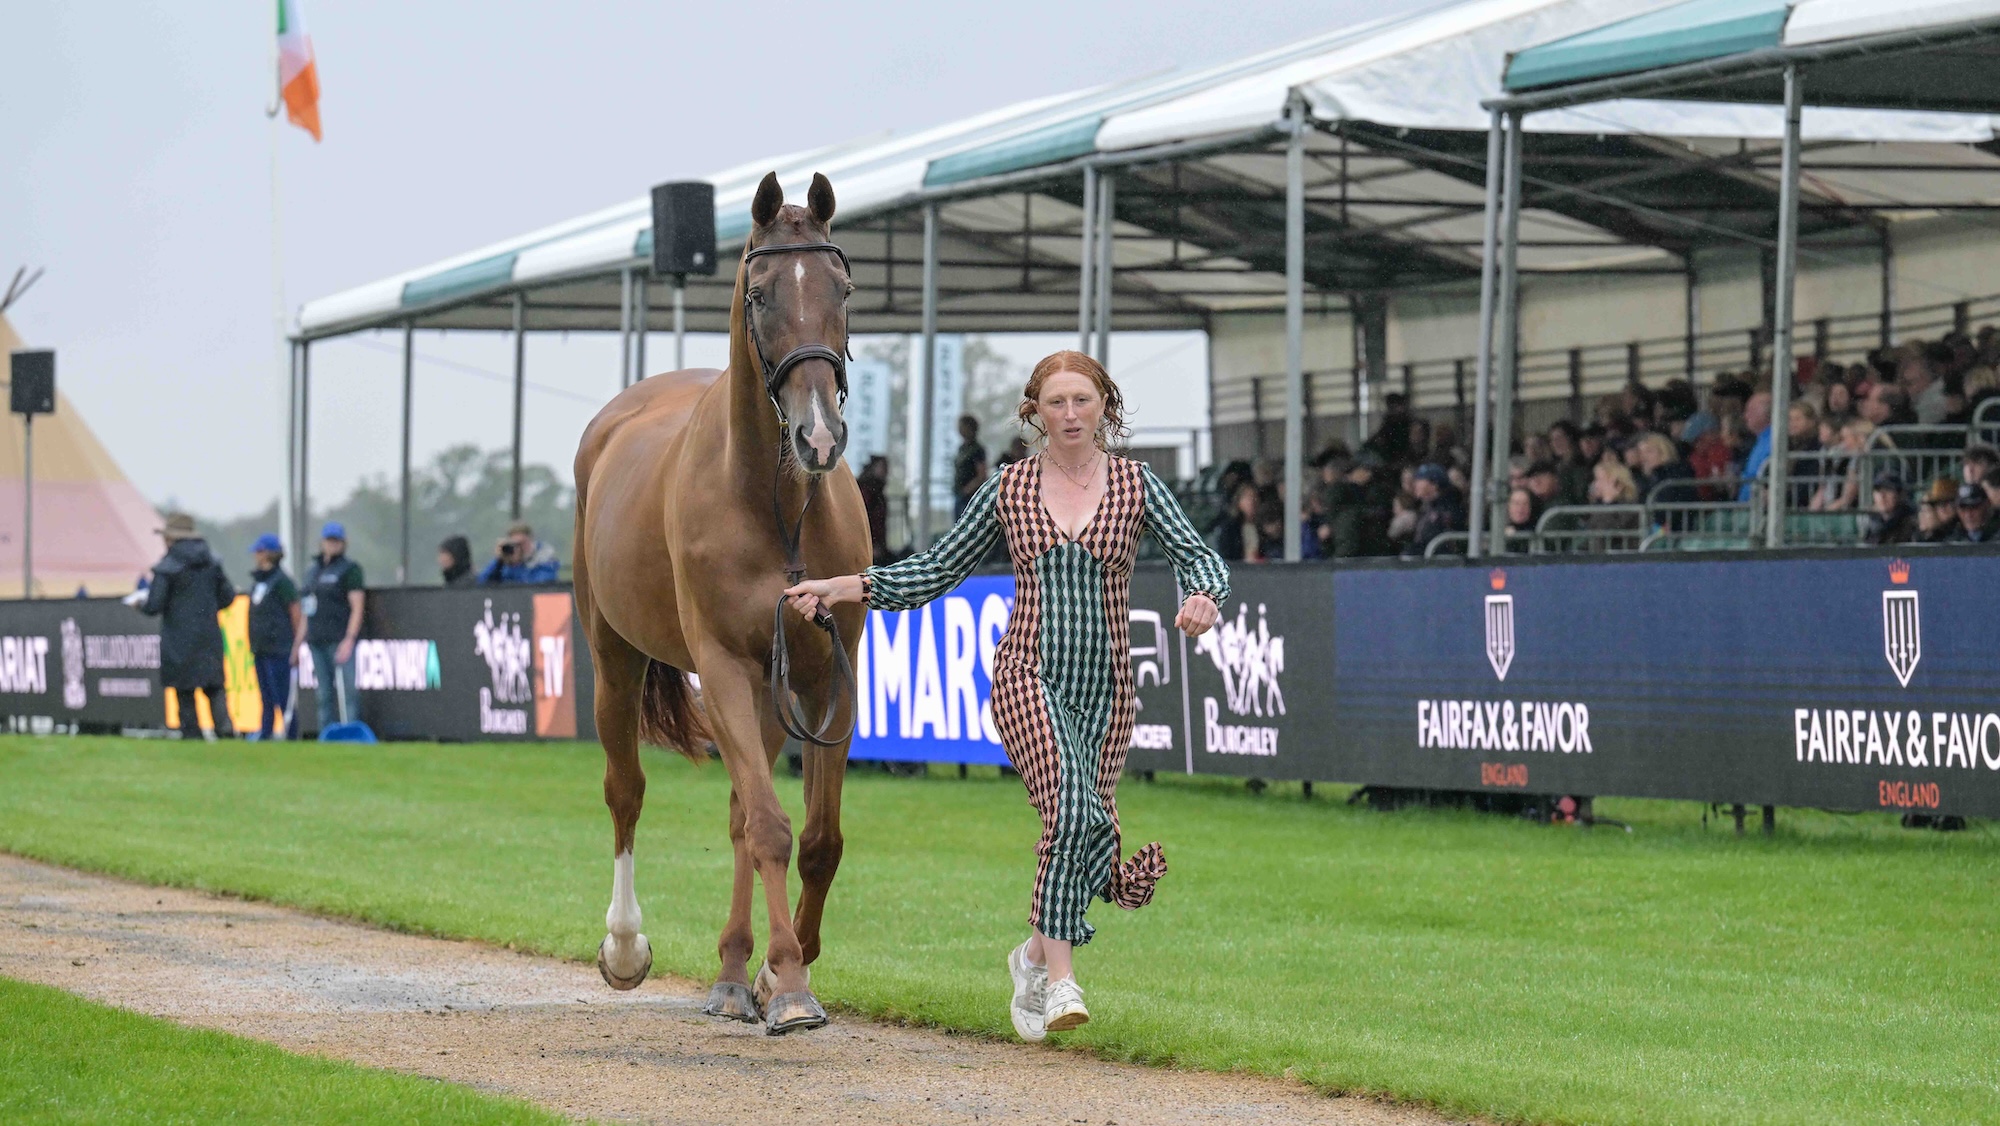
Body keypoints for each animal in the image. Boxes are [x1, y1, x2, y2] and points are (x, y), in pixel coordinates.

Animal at [571, 171, 869, 1034]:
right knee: (628, 791)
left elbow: (816, 837)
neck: (775, 504)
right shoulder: (725, 665)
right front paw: (790, 982)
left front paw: (777, 970)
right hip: (615, 659)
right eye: (761, 294)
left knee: (741, 810)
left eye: (842, 287)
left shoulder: (827, 674)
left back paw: (737, 972)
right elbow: (770, 826)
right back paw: (628, 947)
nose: (818, 436)